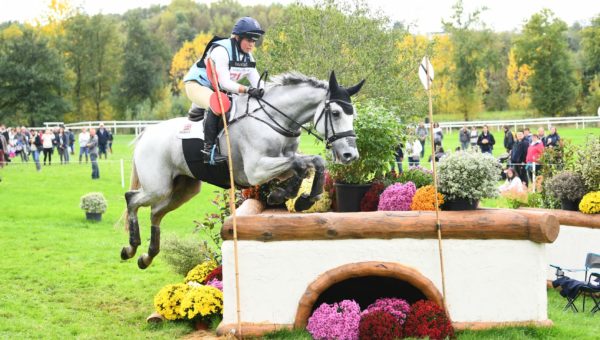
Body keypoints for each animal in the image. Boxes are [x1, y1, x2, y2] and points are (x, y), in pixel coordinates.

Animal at [122, 71, 366, 268]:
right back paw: (131, 248)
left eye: (352, 114)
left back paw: (146, 256)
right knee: (132, 199)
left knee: (155, 212)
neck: (273, 119)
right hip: (158, 187)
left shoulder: (282, 160)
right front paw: (298, 197)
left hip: (184, 189)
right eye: (336, 113)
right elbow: (306, 163)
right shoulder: (256, 170)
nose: (350, 155)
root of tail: (146, 133)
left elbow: (308, 165)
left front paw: (292, 196)